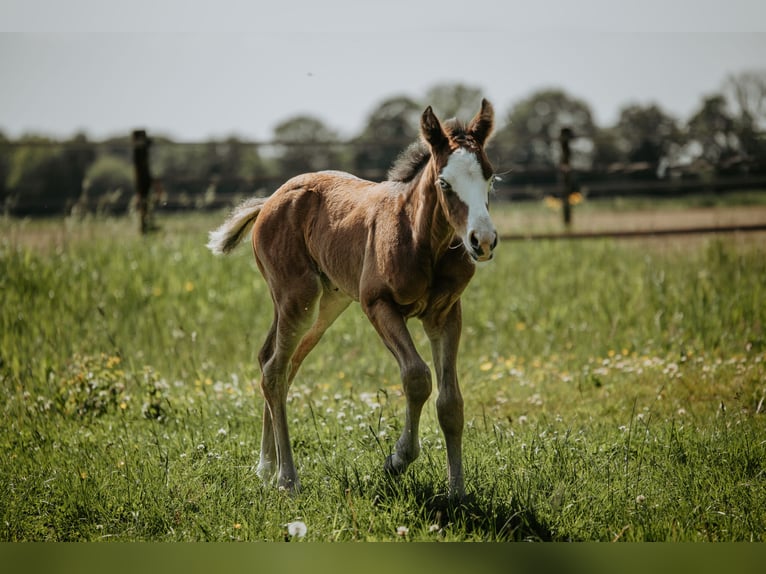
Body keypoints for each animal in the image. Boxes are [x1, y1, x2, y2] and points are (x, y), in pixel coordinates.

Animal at [207, 99, 498, 498]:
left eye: (490, 177)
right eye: (444, 182)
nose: (482, 241)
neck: (422, 239)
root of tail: (270, 200)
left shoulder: (446, 314)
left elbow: (451, 401)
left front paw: (456, 492)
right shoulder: (378, 304)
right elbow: (417, 377)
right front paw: (397, 460)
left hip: (326, 306)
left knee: (276, 362)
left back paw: (266, 467)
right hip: (297, 297)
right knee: (274, 370)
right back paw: (287, 479)